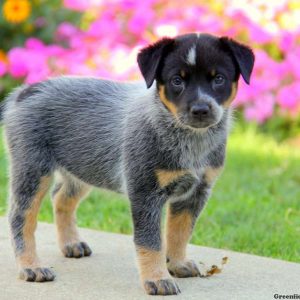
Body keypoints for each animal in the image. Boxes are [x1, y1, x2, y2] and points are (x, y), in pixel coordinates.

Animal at [0, 32, 254, 296]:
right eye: (177, 80)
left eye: (219, 79)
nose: (201, 109)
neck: (190, 140)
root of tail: (25, 91)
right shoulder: (145, 192)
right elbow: (151, 242)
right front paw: (157, 279)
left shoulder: (196, 192)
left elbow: (180, 232)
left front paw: (178, 263)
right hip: (33, 169)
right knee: (20, 217)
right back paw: (31, 267)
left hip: (82, 167)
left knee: (61, 198)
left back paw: (71, 244)